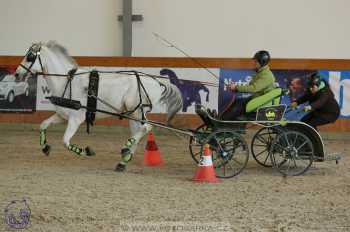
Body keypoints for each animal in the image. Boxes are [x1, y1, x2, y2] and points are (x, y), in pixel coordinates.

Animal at [14, 41, 183, 171]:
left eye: (30, 56)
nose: (16, 74)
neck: (67, 81)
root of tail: (158, 82)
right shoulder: (63, 115)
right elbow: (43, 125)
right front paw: (45, 147)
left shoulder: (76, 118)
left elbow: (65, 141)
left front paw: (86, 151)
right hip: (132, 114)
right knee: (139, 131)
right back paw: (123, 160)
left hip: (137, 111)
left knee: (146, 127)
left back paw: (125, 149)